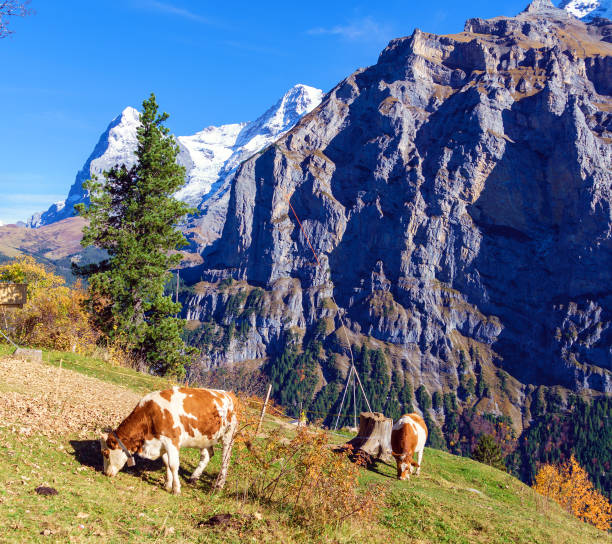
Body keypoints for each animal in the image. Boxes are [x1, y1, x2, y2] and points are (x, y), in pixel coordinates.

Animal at [99, 384, 238, 496]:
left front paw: (176, 489)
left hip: (228, 435)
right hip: (205, 437)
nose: (105, 473)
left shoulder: (172, 441)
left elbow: (173, 465)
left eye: (105, 453)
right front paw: (167, 485)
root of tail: (229, 393)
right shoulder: (162, 443)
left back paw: (219, 485)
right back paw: (193, 478)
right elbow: (166, 463)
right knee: (207, 455)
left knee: (225, 460)